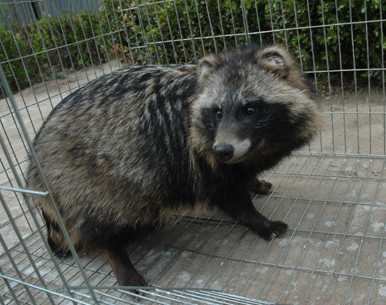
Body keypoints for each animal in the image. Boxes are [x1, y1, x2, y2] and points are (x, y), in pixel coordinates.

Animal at [27, 44, 322, 284]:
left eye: (250, 109)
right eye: (217, 112)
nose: (223, 150)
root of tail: (34, 162)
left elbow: (242, 174)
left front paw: (253, 181)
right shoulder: (198, 160)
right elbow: (230, 198)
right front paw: (258, 221)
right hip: (92, 183)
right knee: (103, 222)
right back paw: (117, 256)